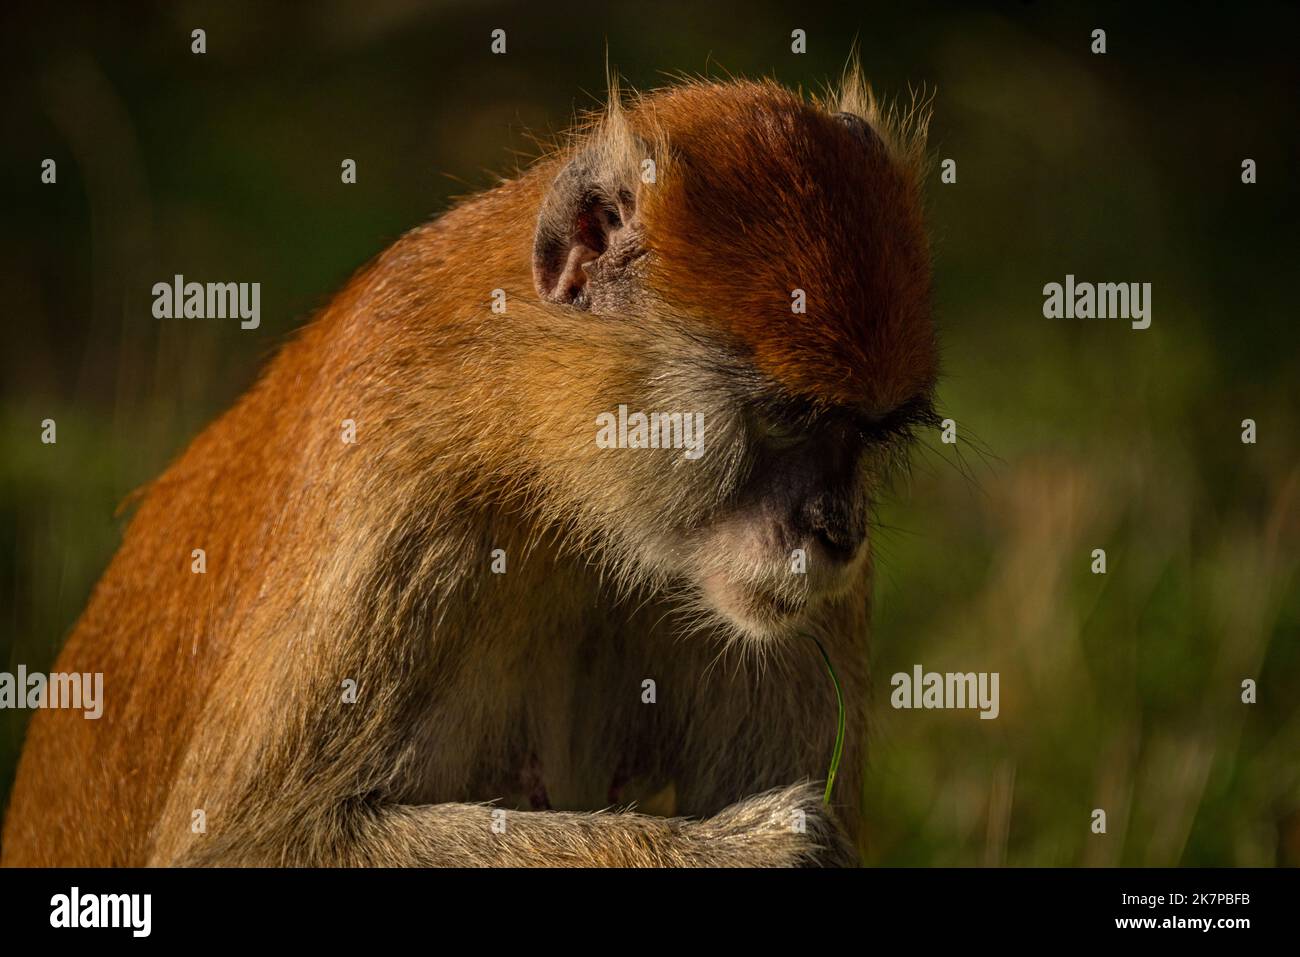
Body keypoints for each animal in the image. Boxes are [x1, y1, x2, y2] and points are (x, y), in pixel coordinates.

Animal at [1, 66, 937, 867]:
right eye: (788, 417)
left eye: (866, 434)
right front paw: (747, 847)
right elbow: (251, 842)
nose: (836, 531)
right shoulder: (406, 508)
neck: (541, 459)